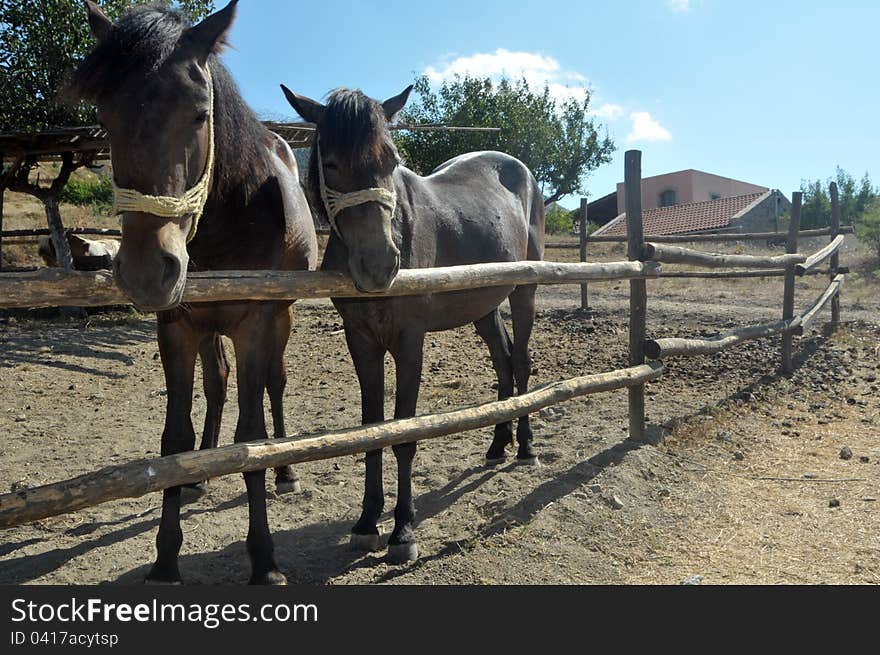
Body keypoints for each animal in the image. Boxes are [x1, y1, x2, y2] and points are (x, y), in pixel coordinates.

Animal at [71, 0, 320, 584]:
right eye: (105, 117)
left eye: (200, 113)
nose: (146, 271)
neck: (228, 221)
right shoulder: (178, 327)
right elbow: (176, 437)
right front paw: (166, 558)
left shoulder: (255, 324)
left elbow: (250, 433)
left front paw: (264, 559)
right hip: (208, 328)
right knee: (218, 383)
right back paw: (199, 476)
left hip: (281, 319)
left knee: (274, 384)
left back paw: (286, 471)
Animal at [282, 83, 544, 564]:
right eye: (331, 163)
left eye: (391, 159)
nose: (380, 266)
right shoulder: (362, 342)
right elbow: (372, 431)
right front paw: (367, 523)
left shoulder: (409, 342)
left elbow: (404, 434)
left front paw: (402, 531)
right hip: (484, 306)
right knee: (502, 363)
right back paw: (497, 446)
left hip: (524, 292)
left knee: (520, 363)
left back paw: (527, 447)